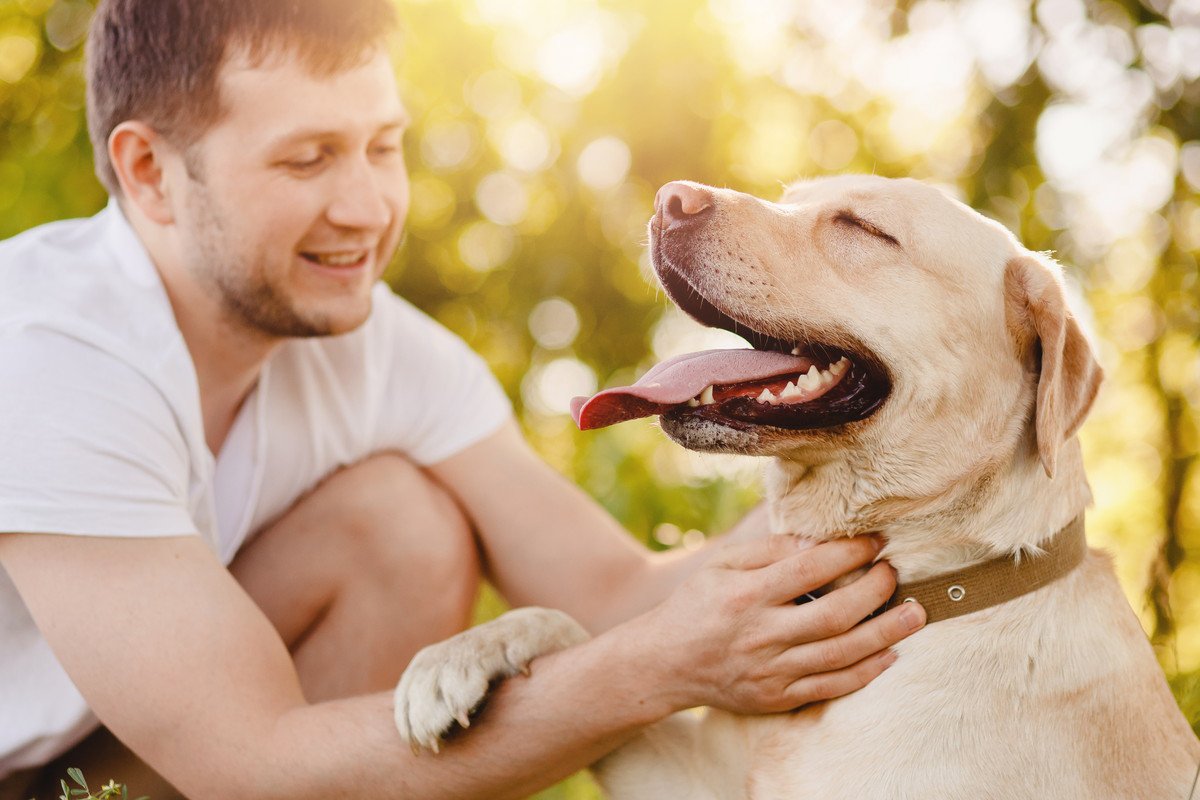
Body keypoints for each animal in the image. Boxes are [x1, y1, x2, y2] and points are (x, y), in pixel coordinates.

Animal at [393, 176, 1200, 800]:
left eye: (862, 227)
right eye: (790, 200)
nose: (670, 199)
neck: (934, 584)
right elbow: (582, 639)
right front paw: (460, 657)